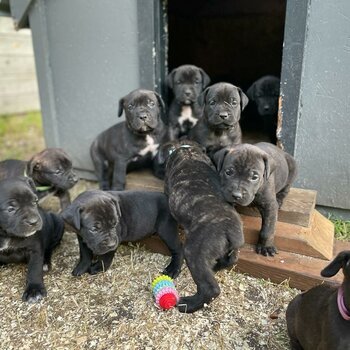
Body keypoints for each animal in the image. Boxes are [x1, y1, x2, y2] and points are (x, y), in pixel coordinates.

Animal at [159, 139, 243, 312]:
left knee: (210, 289)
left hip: (193, 251)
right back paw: (215, 267)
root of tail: (231, 231)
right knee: (228, 262)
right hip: (231, 251)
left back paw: (189, 304)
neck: (186, 149)